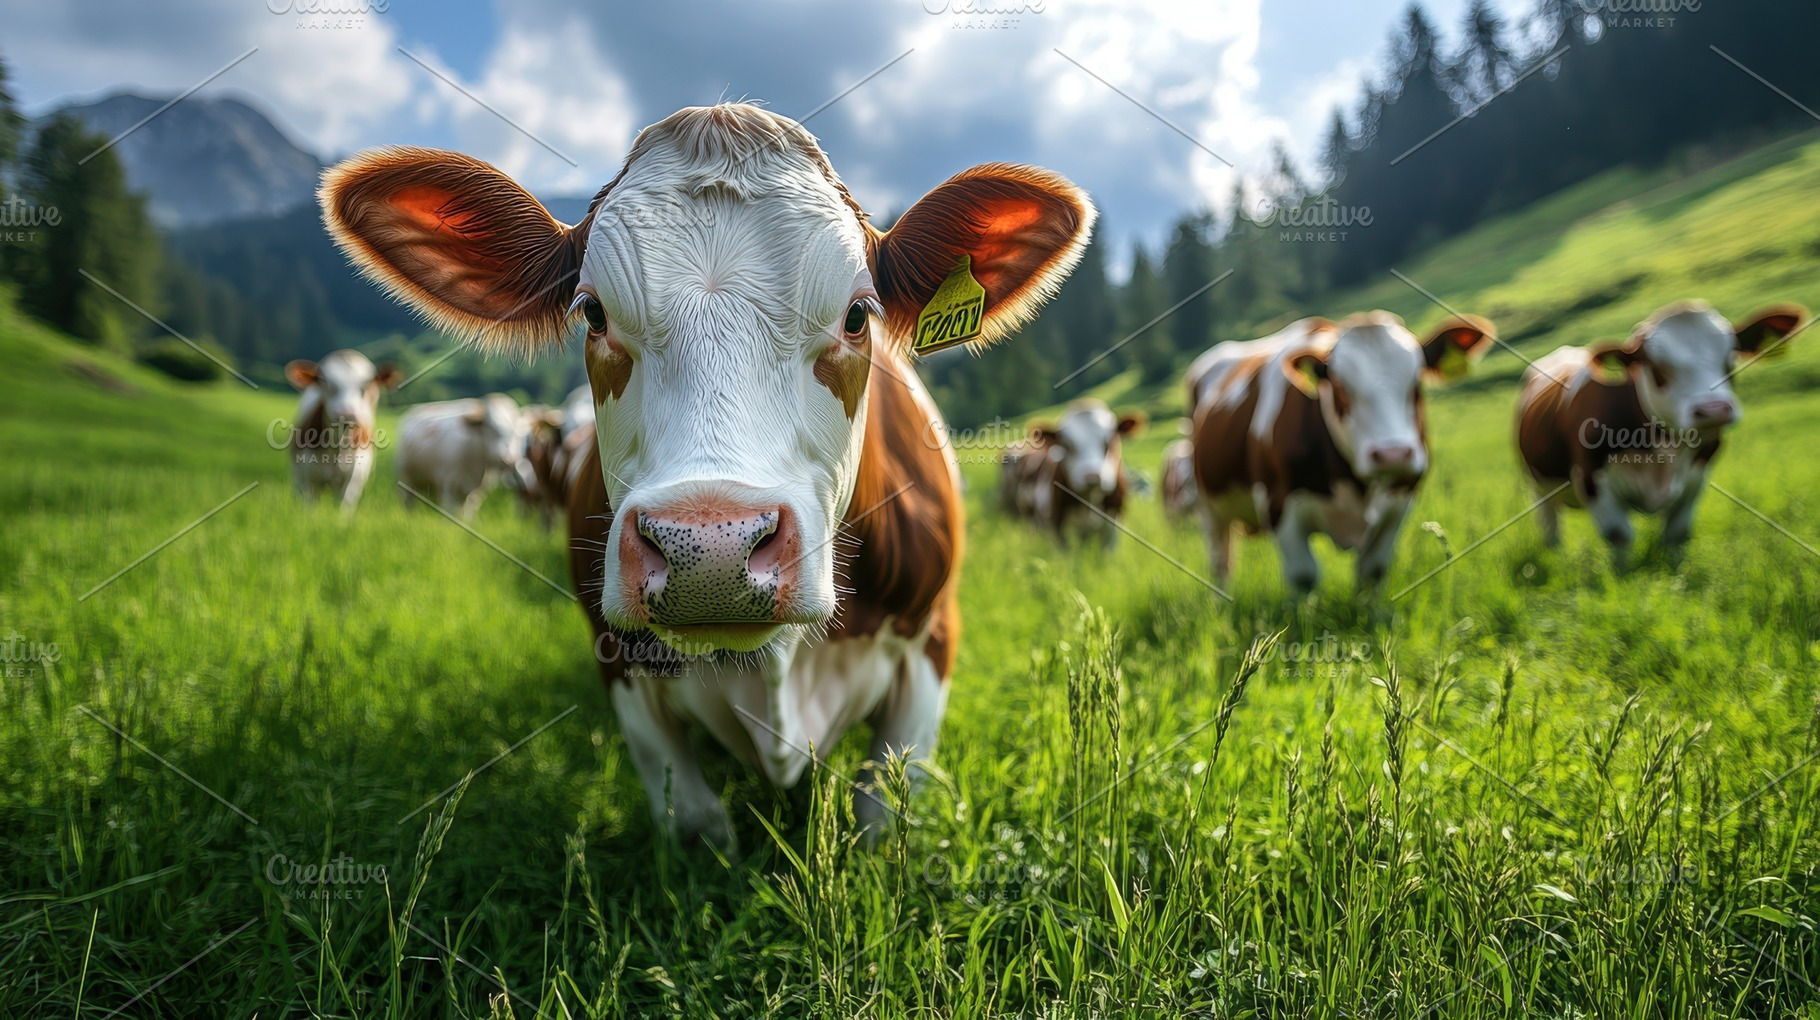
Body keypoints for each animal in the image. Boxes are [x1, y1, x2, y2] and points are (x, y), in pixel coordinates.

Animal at [284, 350, 399, 512]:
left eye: (366, 385)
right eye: (325, 381)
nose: (346, 413)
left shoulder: (355, 479)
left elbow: (344, 507)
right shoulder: (310, 479)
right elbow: (310, 508)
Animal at [395, 394, 536, 520]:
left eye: (516, 432)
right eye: (491, 427)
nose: (508, 458)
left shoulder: (476, 494)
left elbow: (467, 515)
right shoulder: (448, 487)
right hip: (407, 481)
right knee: (408, 503)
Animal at [1186, 312, 1494, 593]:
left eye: (1416, 382)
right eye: (1339, 386)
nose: (1393, 454)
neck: (1355, 486)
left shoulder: (1400, 502)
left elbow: (1372, 571)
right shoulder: (1277, 502)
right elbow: (1303, 576)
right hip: (1208, 504)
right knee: (1220, 563)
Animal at [1516, 301, 1806, 566]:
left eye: (1731, 354)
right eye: (1655, 365)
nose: (1714, 409)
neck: (1664, 451)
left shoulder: (1697, 476)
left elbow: (1676, 533)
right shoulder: (1591, 478)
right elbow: (1619, 535)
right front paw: (1621, 579)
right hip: (1536, 485)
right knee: (1550, 527)